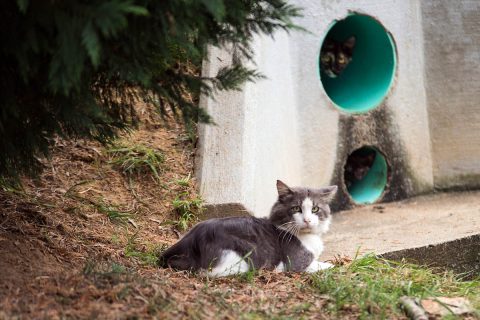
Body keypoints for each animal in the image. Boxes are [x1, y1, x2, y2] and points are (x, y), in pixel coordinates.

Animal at [158, 180, 338, 278]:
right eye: (296, 209)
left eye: (315, 209)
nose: (307, 220)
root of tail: (192, 239)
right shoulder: (296, 263)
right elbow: (323, 265)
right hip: (242, 259)